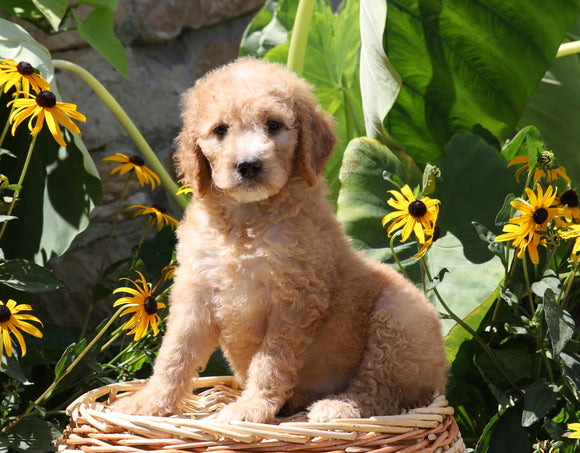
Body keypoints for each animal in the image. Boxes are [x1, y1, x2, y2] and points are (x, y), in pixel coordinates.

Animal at [113, 58, 448, 422]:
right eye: (220, 130)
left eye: (273, 125)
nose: (248, 165)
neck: (246, 222)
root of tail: (441, 372)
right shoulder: (196, 291)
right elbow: (176, 352)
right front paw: (149, 402)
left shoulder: (294, 299)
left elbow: (271, 361)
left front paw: (251, 407)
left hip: (399, 318)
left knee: (381, 389)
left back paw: (338, 406)